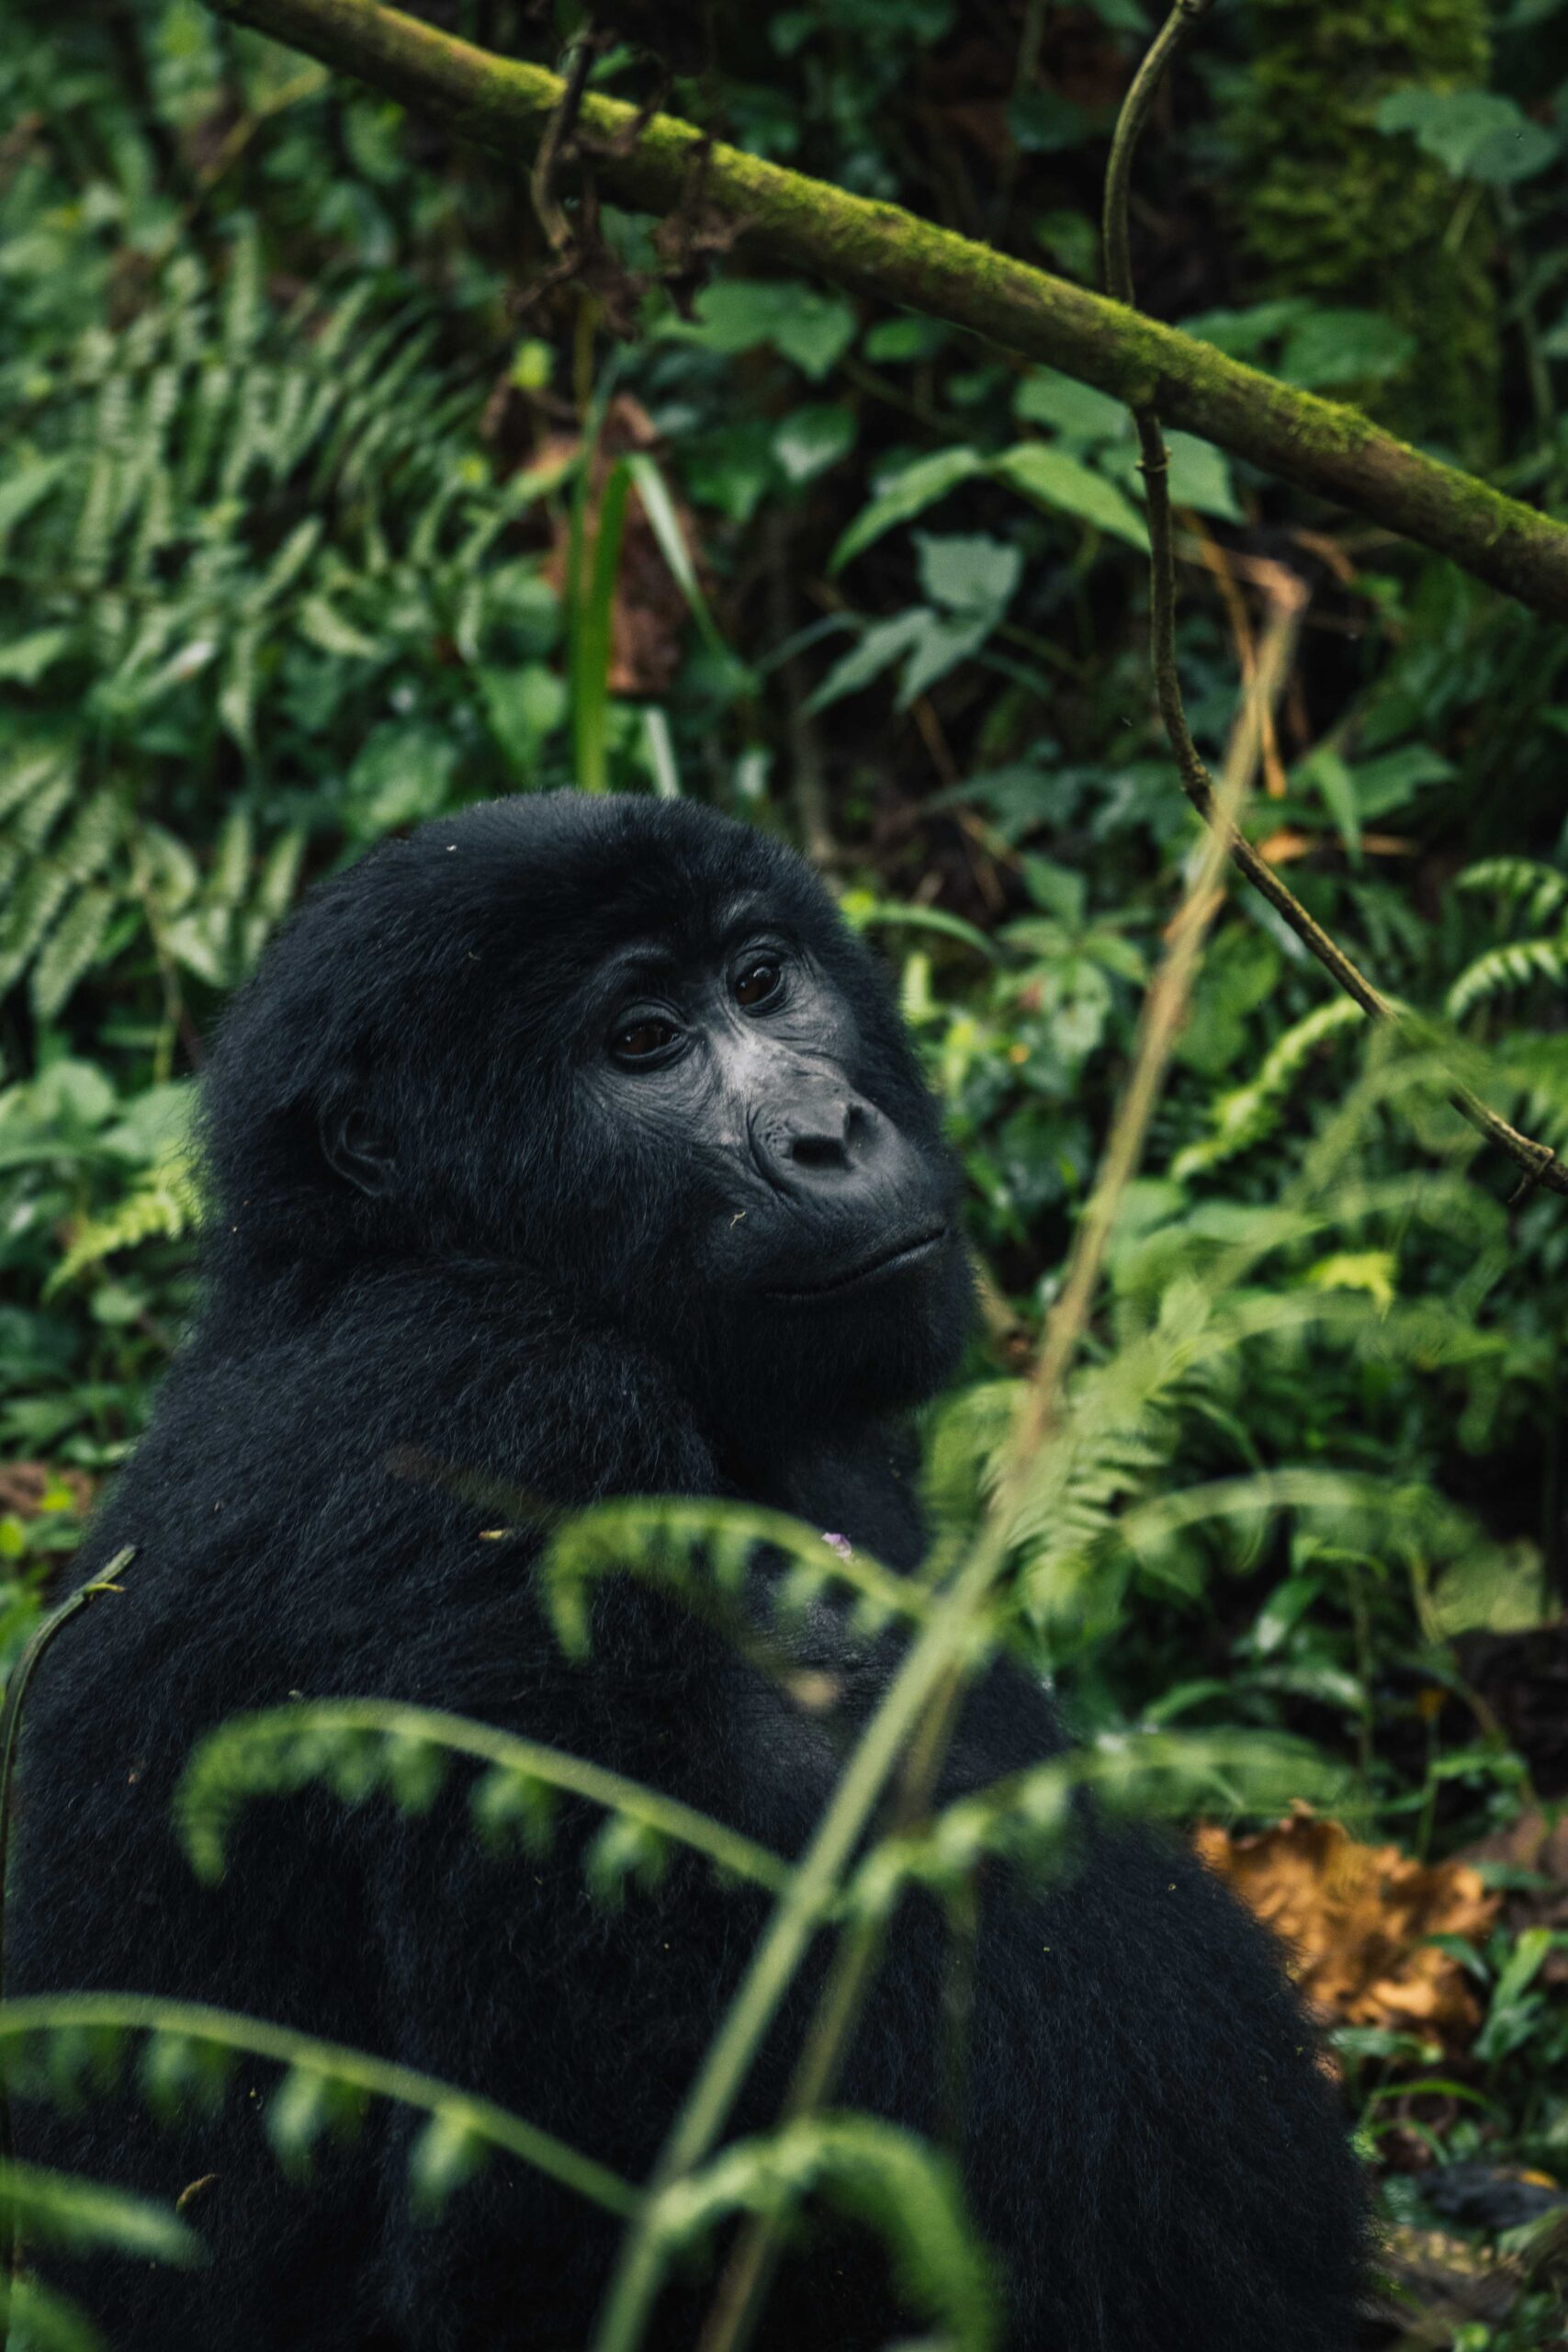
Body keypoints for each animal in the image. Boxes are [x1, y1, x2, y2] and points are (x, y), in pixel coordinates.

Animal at [8, 795, 1363, 2352]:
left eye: (762, 982)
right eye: (642, 1041)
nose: (829, 1132)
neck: (392, 1257)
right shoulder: (488, 1415)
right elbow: (560, 2186)